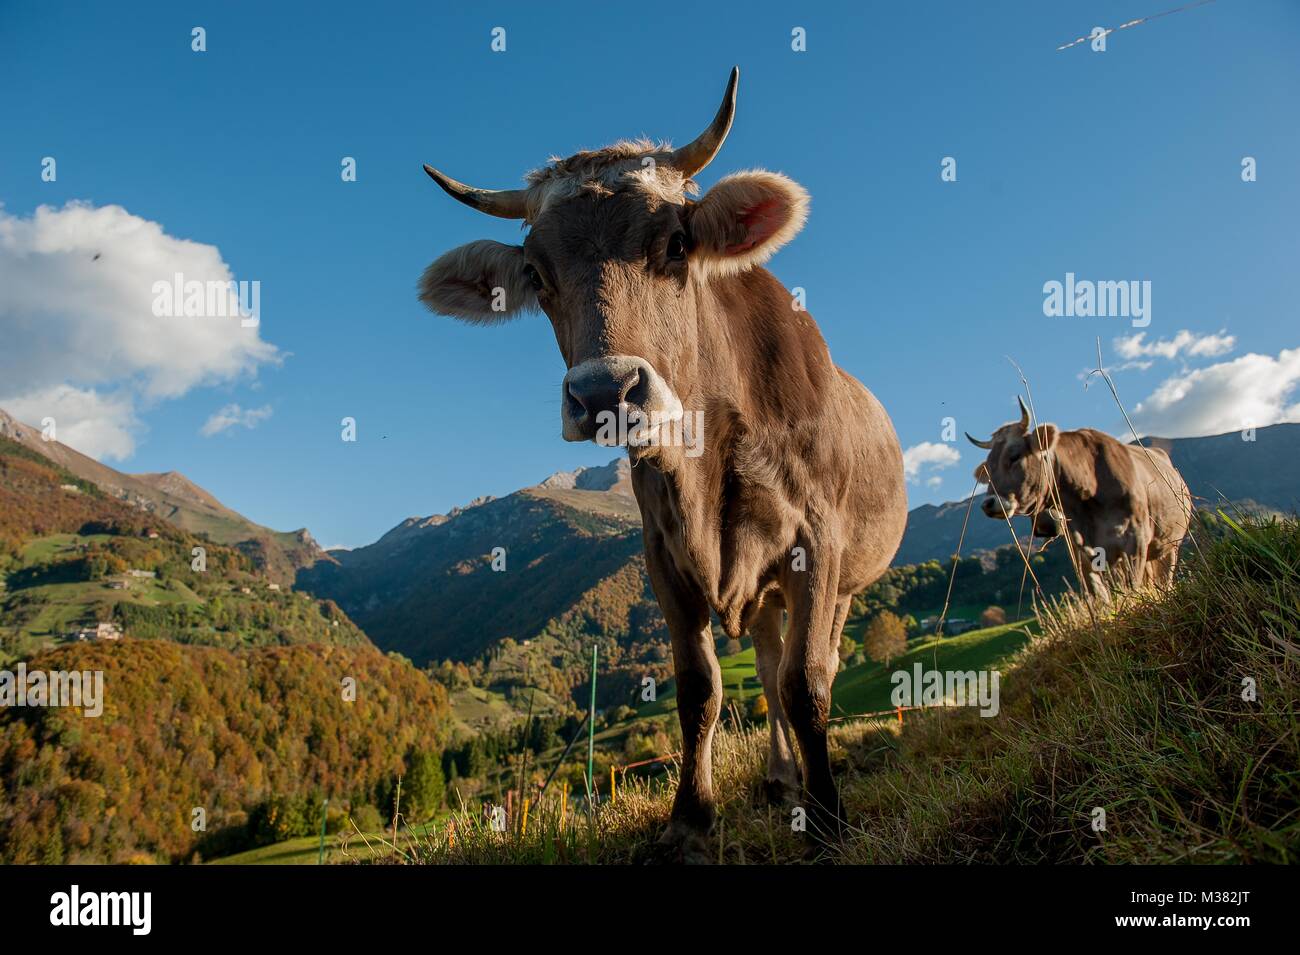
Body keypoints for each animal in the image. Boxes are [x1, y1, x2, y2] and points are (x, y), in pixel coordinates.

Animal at [416, 68, 907, 858]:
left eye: (677, 243)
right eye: (536, 273)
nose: (602, 393)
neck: (710, 455)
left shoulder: (817, 542)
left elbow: (808, 684)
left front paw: (829, 819)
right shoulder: (664, 555)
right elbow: (701, 686)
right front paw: (691, 818)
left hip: (849, 580)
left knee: (811, 665)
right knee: (764, 665)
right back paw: (780, 779)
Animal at [966, 397, 1192, 595]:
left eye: (1014, 456)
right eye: (988, 467)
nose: (988, 504)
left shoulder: (1135, 543)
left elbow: (1132, 589)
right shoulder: (1083, 552)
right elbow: (1098, 596)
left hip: (1169, 544)